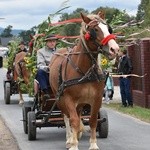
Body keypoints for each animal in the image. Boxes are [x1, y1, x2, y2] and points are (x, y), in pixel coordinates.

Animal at [49, 11, 119, 150]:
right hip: (59, 98)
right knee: (66, 117)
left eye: (108, 28)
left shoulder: (96, 99)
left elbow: (92, 121)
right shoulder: (68, 99)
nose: (115, 49)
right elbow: (73, 120)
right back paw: (70, 138)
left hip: (80, 102)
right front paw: (73, 144)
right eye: (95, 30)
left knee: (77, 114)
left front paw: (93, 144)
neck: (85, 72)